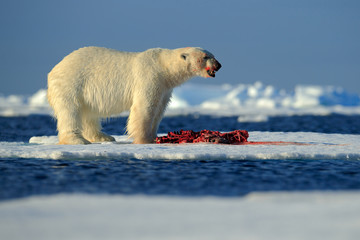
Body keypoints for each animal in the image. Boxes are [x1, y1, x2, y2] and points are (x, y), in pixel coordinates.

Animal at [47, 47, 222, 144]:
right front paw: (144, 140)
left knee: (89, 114)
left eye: (212, 54)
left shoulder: (165, 88)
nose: (219, 65)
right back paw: (77, 140)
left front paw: (154, 137)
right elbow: (145, 108)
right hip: (71, 84)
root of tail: (54, 69)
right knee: (70, 111)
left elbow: (159, 110)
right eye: (205, 57)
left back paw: (104, 137)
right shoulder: (150, 76)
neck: (164, 67)